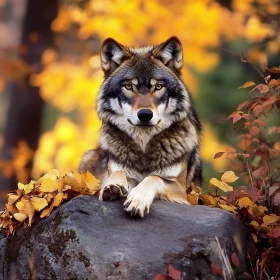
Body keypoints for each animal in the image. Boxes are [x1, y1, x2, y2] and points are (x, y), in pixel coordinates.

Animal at [77, 36, 202, 218]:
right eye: (129, 86)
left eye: (158, 87)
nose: (144, 114)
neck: (144, 148)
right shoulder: (119, 171)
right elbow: (117, 173)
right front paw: (113, 187)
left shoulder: (180, 188)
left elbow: (153, 178)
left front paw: (138, 199)